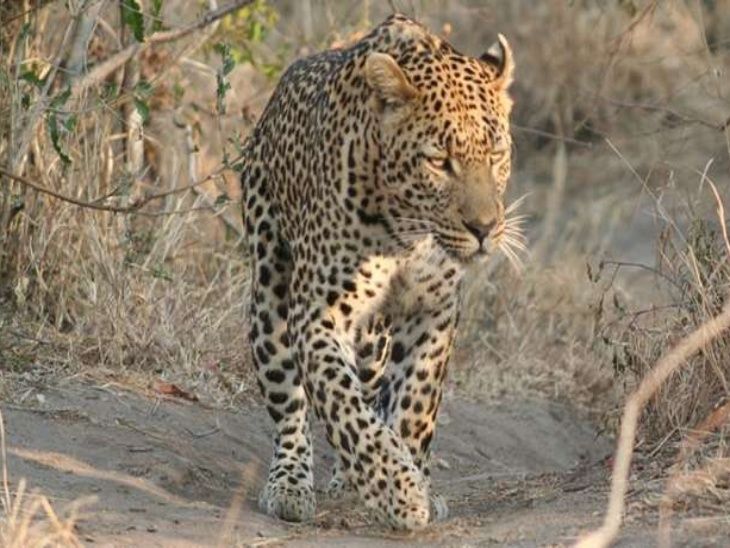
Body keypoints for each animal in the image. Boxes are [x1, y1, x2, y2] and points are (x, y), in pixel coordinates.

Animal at [240, 13, 522, 530]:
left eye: (495, 153)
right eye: (439, 161)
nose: (485, 228)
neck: (408, 231)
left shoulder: (434, 311)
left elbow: (415, 405)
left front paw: (413, 480)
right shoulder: (316, 314)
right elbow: (342, 404)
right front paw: (397, 488)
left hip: (373, 341)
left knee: (372, 387)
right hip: (270, 296)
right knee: (290, 404)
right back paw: (291, 482)